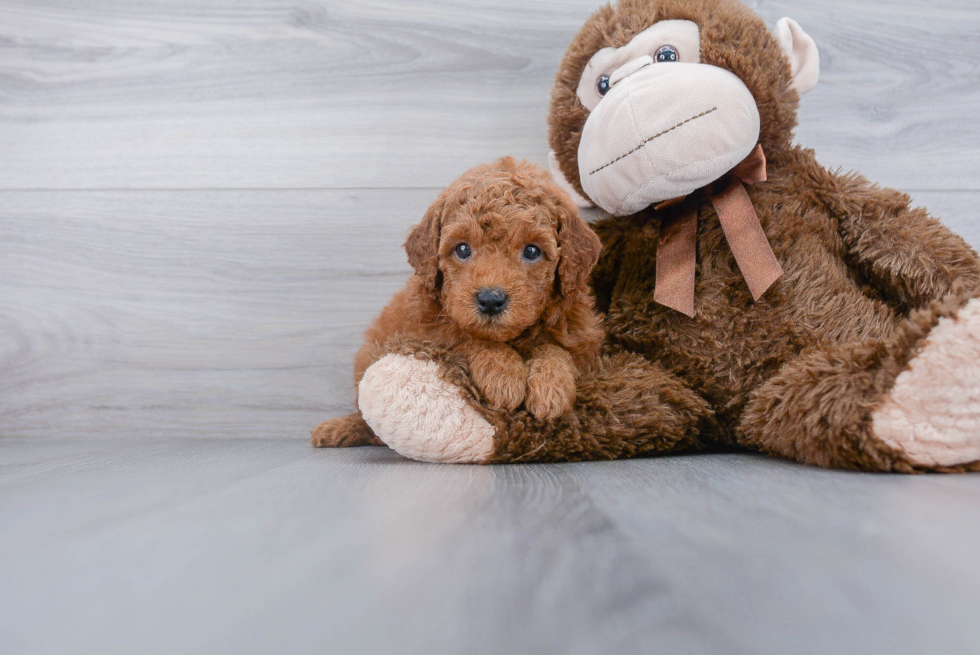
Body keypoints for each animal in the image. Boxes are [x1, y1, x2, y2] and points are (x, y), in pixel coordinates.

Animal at [314, 156, 604, 448]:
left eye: (532, 251)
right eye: (462, 249)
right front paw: (504, 374)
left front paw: (551, 386)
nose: (490, 300)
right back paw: (338, 428)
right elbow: (466, 337)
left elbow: (558, 349)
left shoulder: (584, 345)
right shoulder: (427, 332)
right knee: (367, 422)